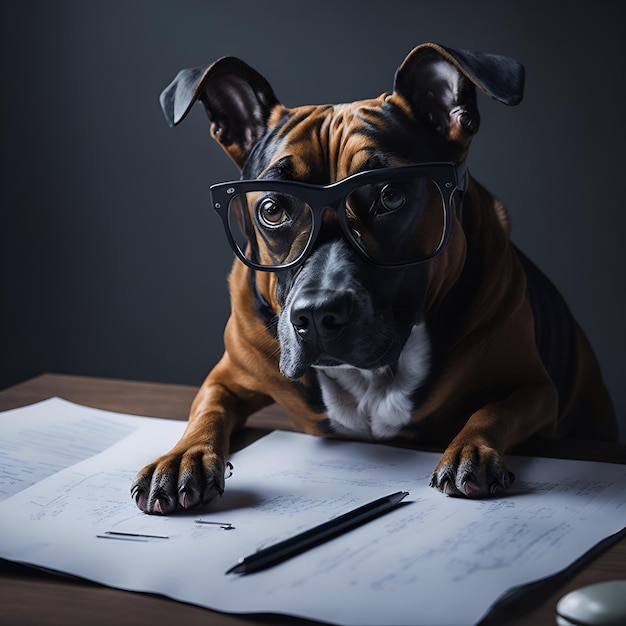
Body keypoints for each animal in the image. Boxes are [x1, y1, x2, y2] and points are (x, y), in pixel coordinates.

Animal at [132, 42, 616, 512]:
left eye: (390, 196)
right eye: (271, 208)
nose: (317, 316)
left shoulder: (535, 389)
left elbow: (492, 411)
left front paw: (471, 448)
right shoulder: (227, 376)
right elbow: (206, 409)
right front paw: (184, 456)